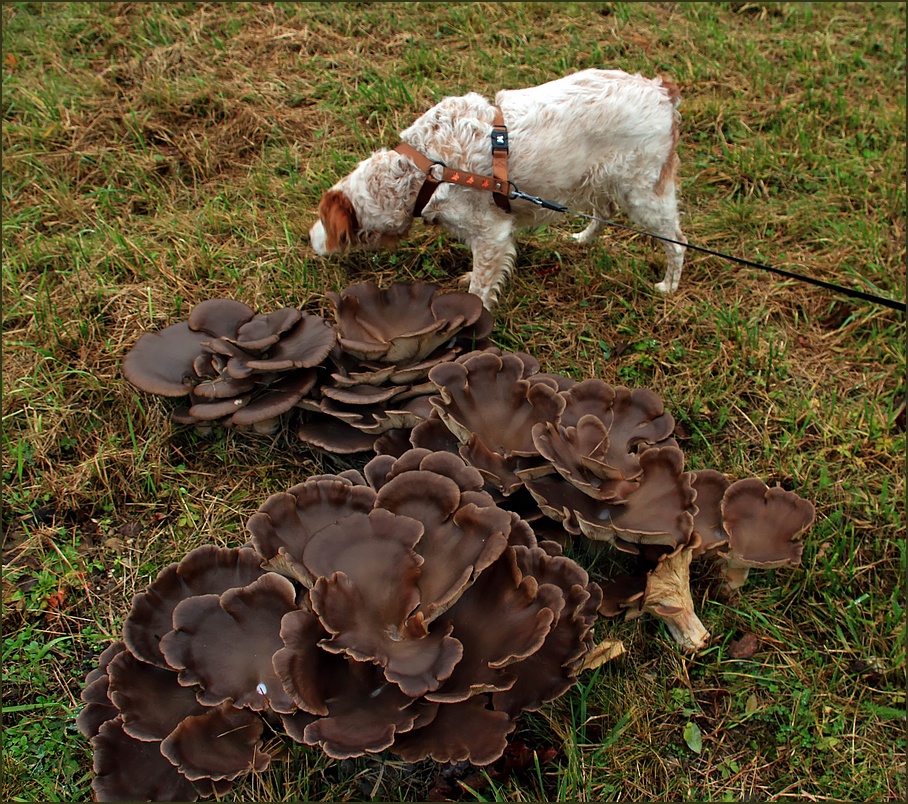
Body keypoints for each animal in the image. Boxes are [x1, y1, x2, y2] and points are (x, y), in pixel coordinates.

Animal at [308, 69, 684, 310]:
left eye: (325, 223)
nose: (309, 239)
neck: (427, 169)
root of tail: (662, 90)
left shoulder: (492, 235)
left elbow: (479, 290)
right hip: (602, 179)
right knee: (604, 211)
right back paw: (582, 239)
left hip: (644, 195)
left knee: (677, 243)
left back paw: (669, 286)